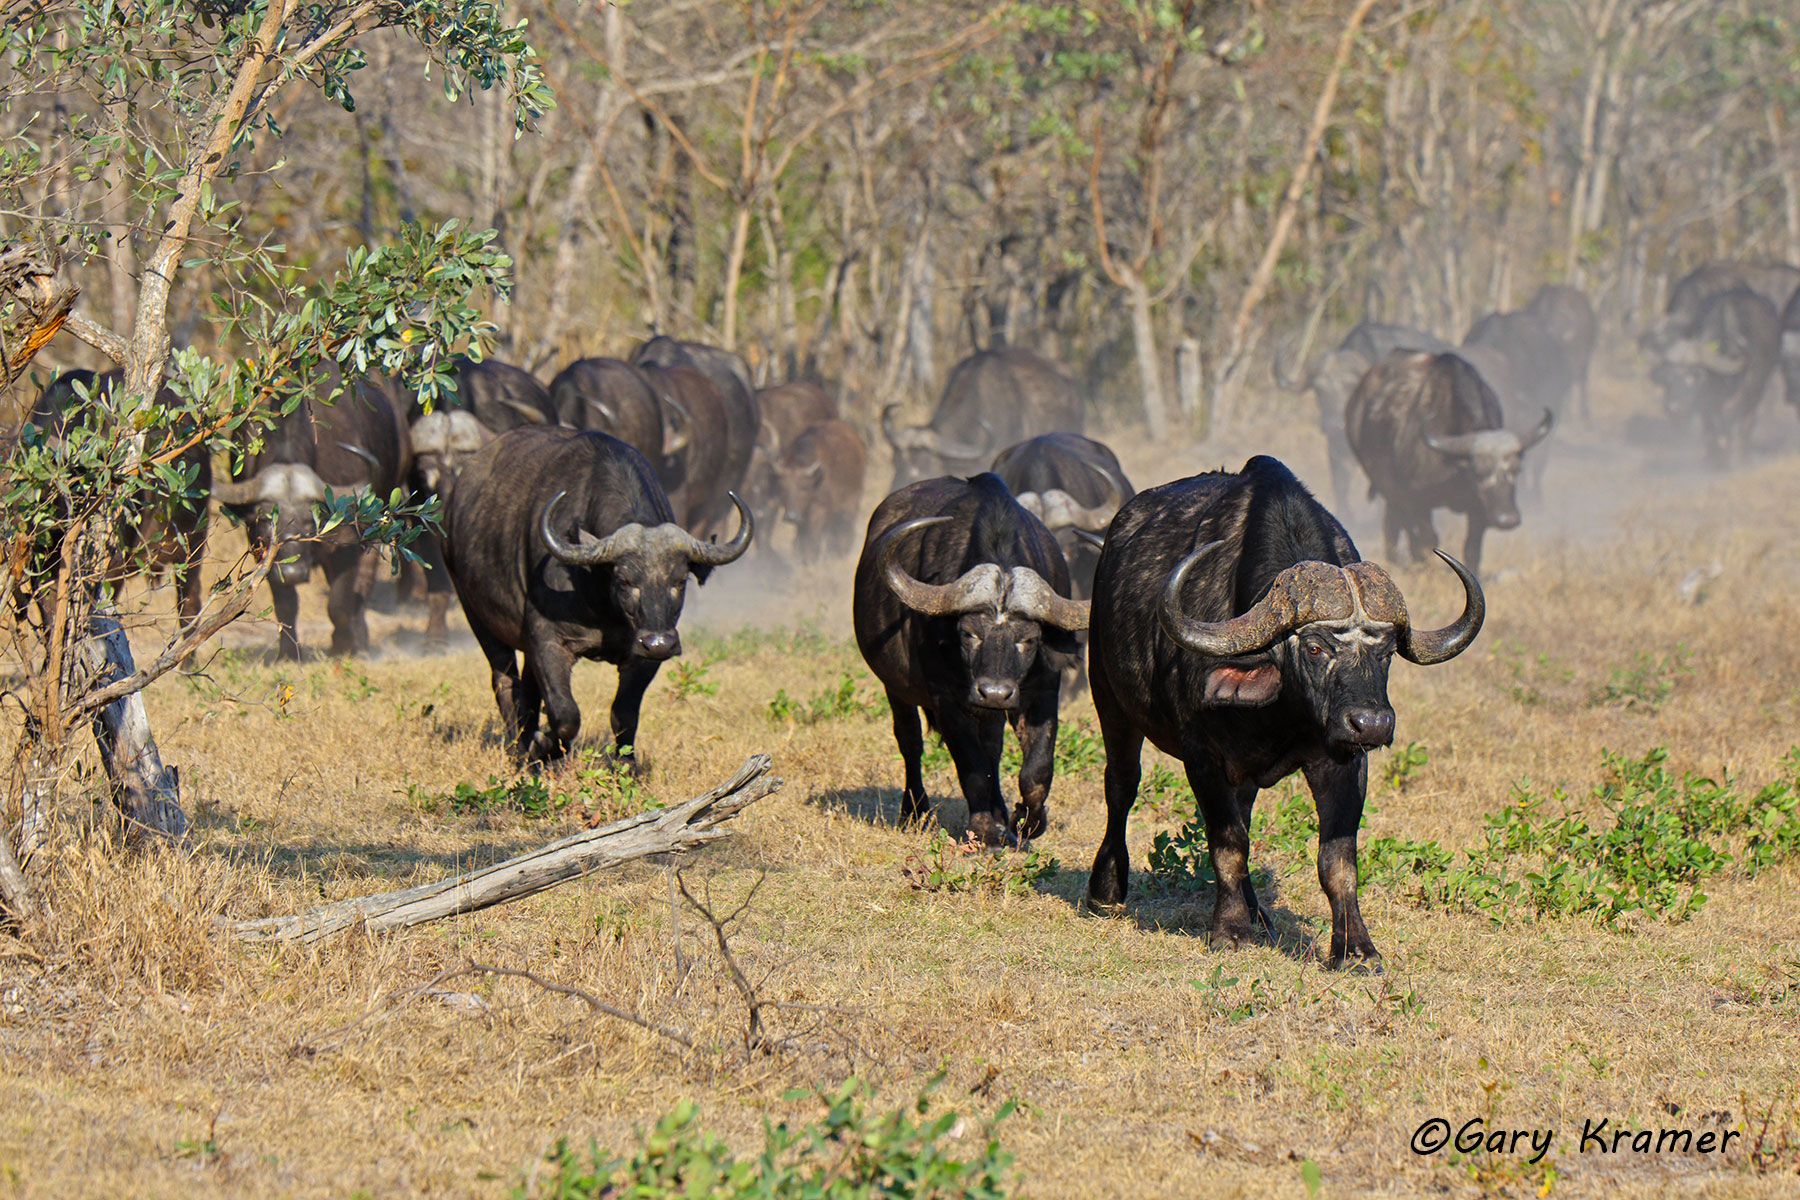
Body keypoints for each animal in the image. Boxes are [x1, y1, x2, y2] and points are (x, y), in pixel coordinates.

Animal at [445, 427, 751, 764]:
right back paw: (520, 749)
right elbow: (566, 714)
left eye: (680, 581)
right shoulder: (548, 641)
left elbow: (624, 713)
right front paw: (545, 746)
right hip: (477, 615)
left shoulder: (642, 656)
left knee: (527, 688)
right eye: (624, 579)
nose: (659, 643)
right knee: (505, 682)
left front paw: (626, 765)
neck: (604, 604)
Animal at [853, 473, 1089, 846]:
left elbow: (1036, 770)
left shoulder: (1043, 692)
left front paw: (1026, 821)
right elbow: (972, 766)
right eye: (968, 633)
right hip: (895, 687)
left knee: (992, 748)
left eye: (1029, 639)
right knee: (910, 741)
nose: (994, 693)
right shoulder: (946, 698)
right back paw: (915, 811)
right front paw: (985, 830)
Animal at [1084, 455, 1483, 969]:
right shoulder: (1202, 757)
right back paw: (1106, 890)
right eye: (1314, 647)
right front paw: (1230, 931)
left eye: (1387, 652)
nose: (1372, 724)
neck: (1281, 714)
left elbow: (1337, 861)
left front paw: (1356, 949)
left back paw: (1258, 913)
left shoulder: (1345, 761)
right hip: (1108, 697)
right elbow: (1228, 843)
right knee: (1121, 785)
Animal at [1345, 350, 1552, 575]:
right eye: (1480, 472)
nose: (1507, 519)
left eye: (1517, 469)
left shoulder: (1478, 509)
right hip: (1387, 485)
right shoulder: (1419, 501)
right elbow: (1428, 539)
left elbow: (1472, 548)